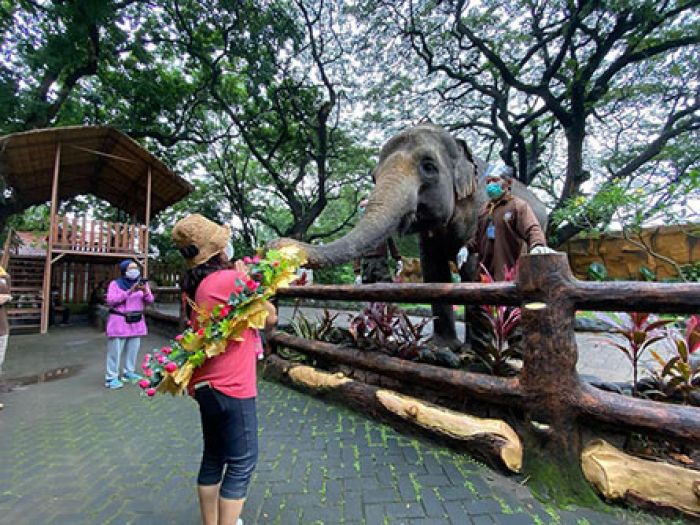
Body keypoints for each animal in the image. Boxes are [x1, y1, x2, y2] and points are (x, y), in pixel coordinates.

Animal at [274, 123, 548, 350]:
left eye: (428, 167)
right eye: (374, 176)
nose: (278, 244)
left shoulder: (477, 210)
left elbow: (472, 266)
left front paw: (473, 351)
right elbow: (433, 270)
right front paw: (443, 347)